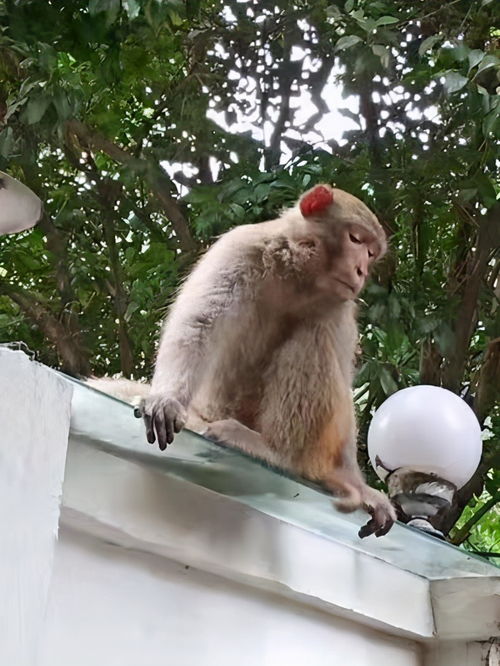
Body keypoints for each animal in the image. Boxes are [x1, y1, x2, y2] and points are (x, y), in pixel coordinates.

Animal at [127, 184, 396, 536]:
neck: (297, 276)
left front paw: (356, 482)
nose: (362, 271)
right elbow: (200, 323)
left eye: (372, 253)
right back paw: (274, 450)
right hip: (218, 409)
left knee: (315, 331)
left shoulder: (340, 305)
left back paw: (280, 452)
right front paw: (166, 399)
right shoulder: (240, 248)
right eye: (355, 240)